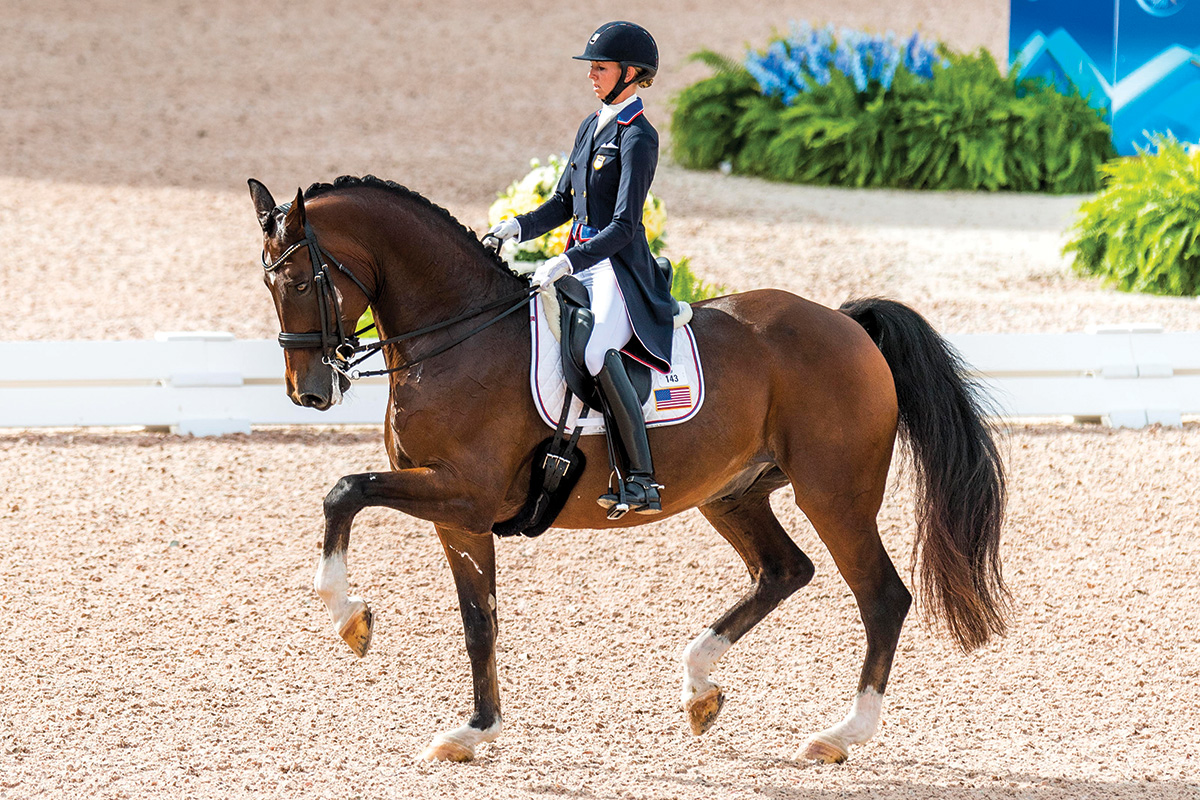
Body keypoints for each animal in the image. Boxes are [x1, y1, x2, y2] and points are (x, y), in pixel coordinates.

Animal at [248, 173, 1008, 762]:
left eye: (302, 279)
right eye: (268, 281)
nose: (310, 392)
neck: (457, 336)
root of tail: (847, 322)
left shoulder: (462, 494)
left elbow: (344, 492)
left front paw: (349, 618)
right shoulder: (459, 516)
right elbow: (478, 618)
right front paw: (474, 731)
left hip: (835, 495)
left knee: (881, 597)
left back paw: (840, 734)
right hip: (732, 493)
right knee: (784, 570)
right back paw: (701, 688)